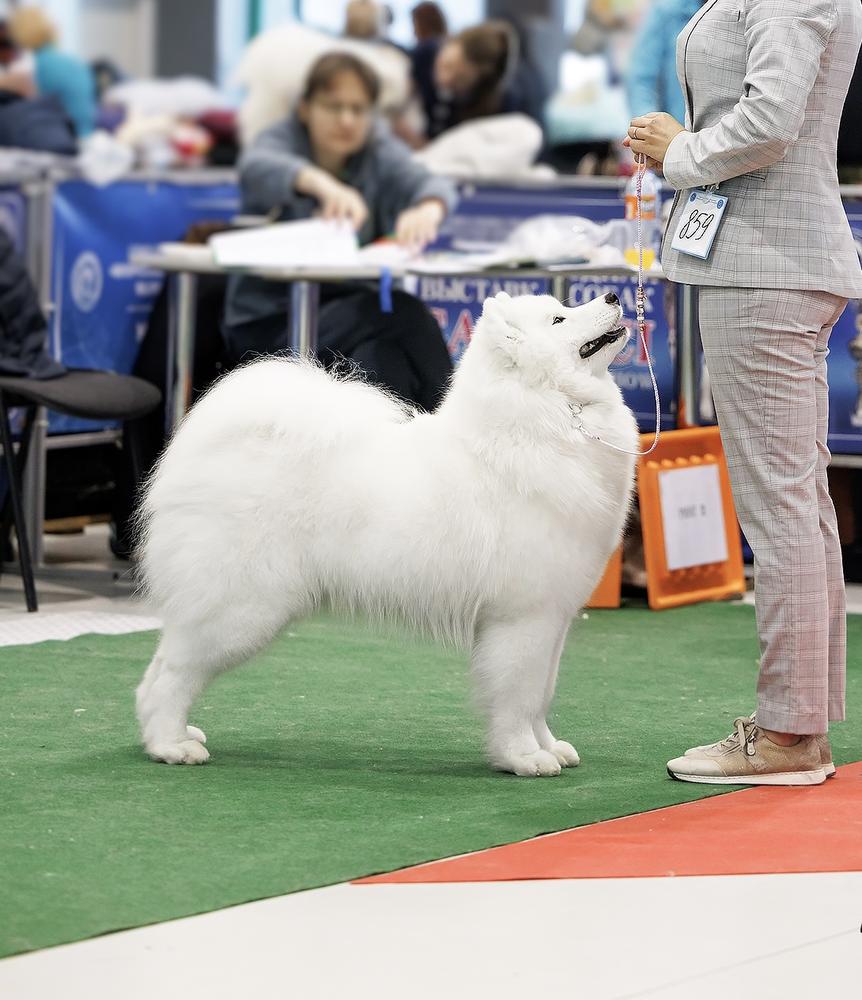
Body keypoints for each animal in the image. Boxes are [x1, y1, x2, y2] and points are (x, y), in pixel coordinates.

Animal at [137, 290, 640, 772]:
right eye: (559, 319)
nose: (614, 296)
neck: (549, 415)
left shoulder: (553, 619)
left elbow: (542, 696)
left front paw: (548, 747)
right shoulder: (522, 618)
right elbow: (519, 697)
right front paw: (522, 757)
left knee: (157, 669)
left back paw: (170, 735)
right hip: (241, 609)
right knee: (173, 674)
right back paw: (171, 746)